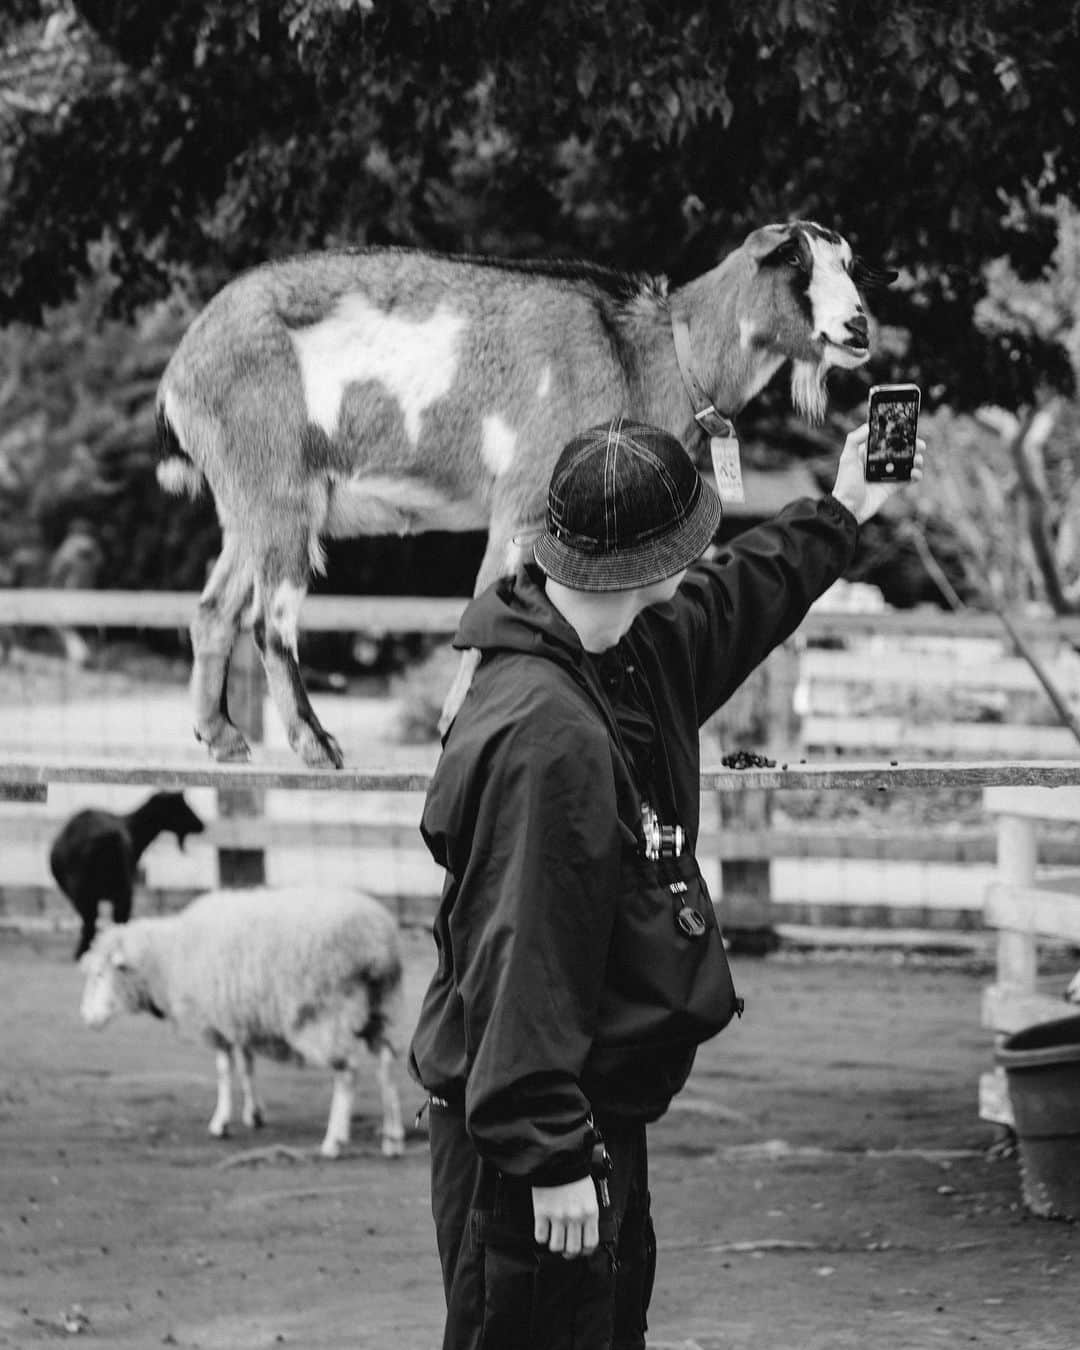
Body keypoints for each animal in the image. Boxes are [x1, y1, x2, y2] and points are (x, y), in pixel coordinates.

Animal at [49, 788, 205, 961]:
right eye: (182, 807)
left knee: (97, 921)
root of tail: (109, 837)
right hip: (110, 891)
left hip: (97, 892)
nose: (201, 825)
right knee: (106, 921)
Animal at [76, 885, 405, 1161]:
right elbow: (247, 1066)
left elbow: (224, 1070)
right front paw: (254, 1114)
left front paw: (221, 1122)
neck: (168, 959)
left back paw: (334, 1142)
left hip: (324, 1015)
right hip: (381, 1010)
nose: (86, 1018)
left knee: (347, 1073)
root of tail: (378, 947)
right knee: (387, 1064)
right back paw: (393, 1138)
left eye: (101, 975)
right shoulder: (242, 1018)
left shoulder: (214, 1021)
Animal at [153, 224, 896, 772]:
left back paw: (221, 738)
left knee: (214, 610)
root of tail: (180, 368)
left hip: (247, 502)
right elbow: (485, 610)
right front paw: (459, 728)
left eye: (850, 264)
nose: (859, 329)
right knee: (267, 620)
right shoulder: (525, 501)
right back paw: (316, 744)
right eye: (794, 259)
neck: (644, 353)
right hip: (281, 486)